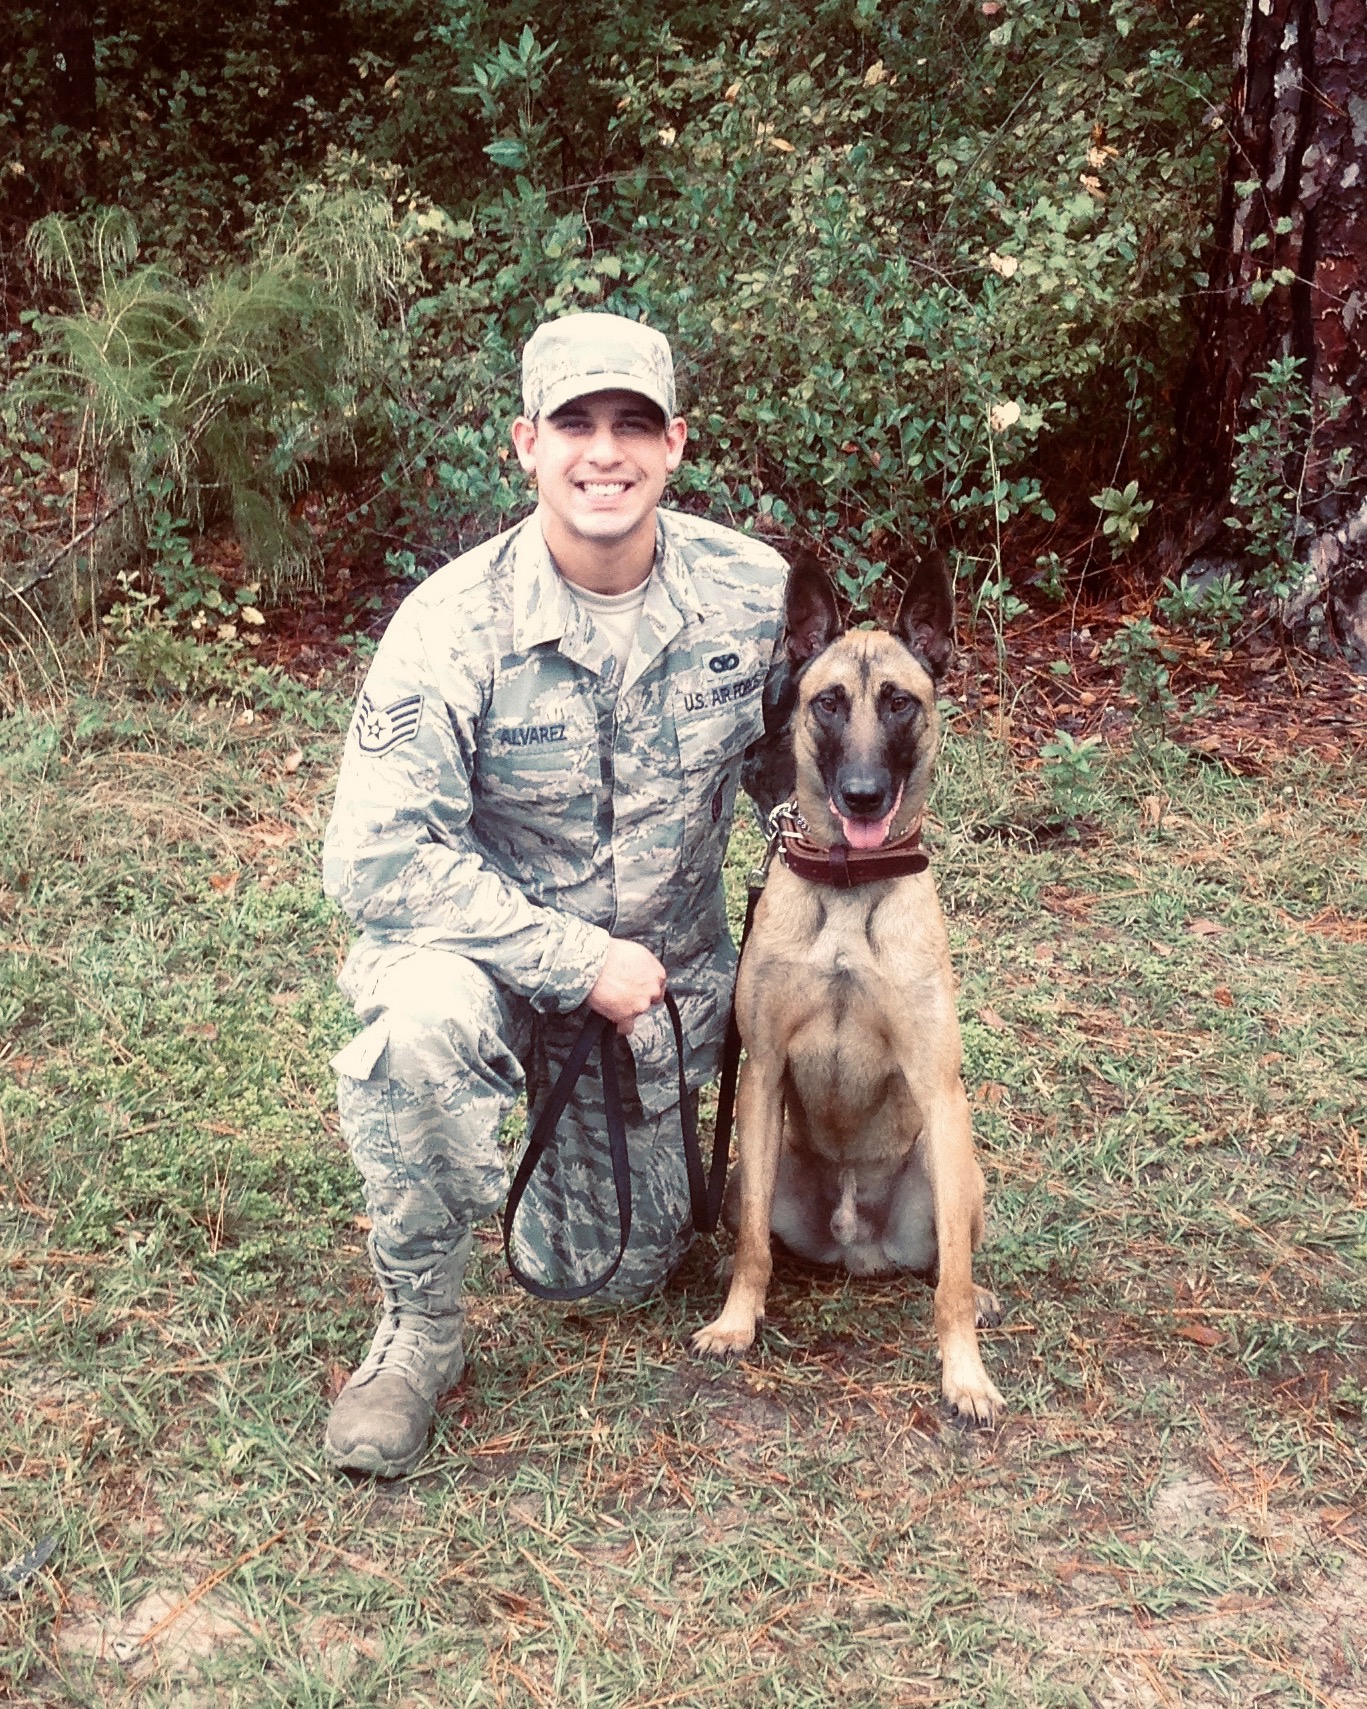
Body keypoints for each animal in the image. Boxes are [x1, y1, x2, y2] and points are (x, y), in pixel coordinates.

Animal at [693, 553, 1004, 1421]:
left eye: (899, 701)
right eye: (827, 702)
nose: (863, 793)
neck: (845, 885)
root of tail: (854, 1241)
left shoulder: (938, 1086)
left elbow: (951, 1280)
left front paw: (964, 1373)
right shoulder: (761, 1070)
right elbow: (754, 1247)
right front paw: (736, 1320)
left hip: (952, 1163)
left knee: (949, 1261)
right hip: (746, 1170)